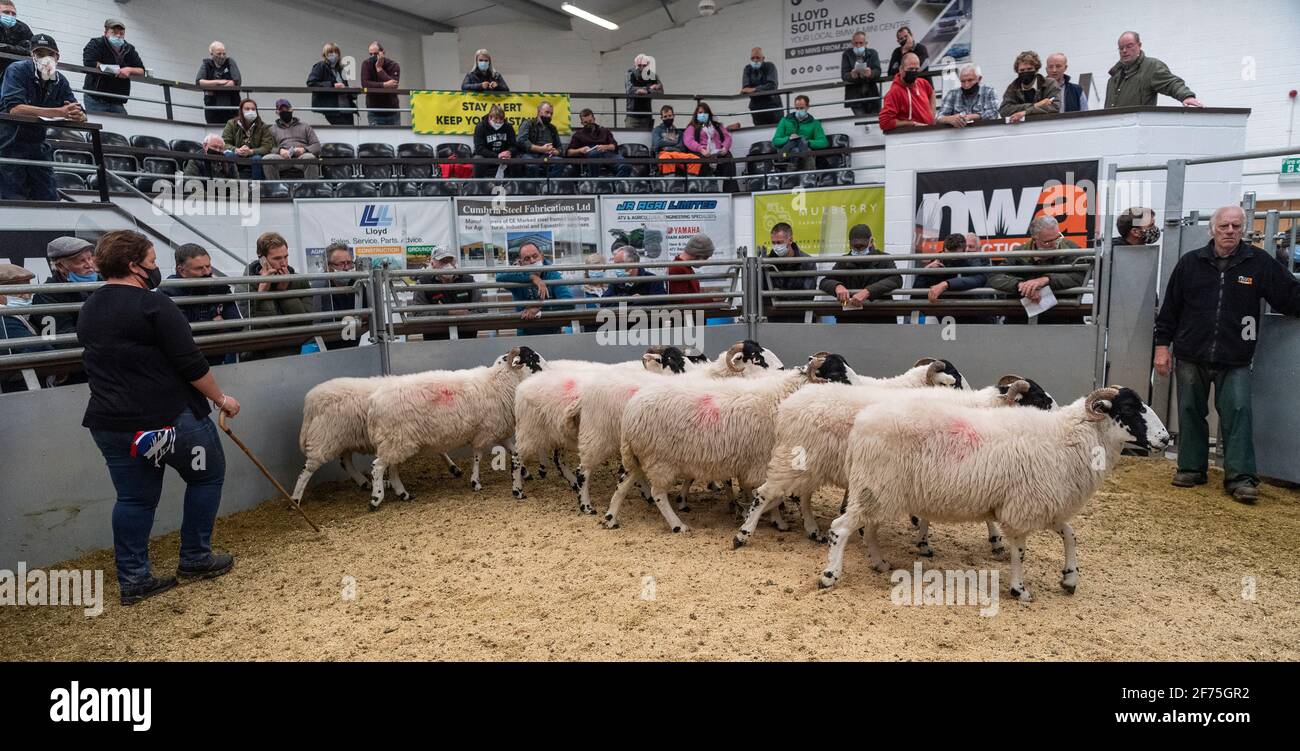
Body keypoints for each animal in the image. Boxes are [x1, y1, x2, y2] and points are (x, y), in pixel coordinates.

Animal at [364, 345, 546, 509]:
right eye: (532, 359)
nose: (548, 370)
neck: (500, 382)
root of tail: (373, 403)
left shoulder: (498, 431)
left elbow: (513, 451)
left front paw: (524, 472)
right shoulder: (483, 432)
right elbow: (478, 456)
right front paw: (475, 482)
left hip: (397, 442)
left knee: (392, 467)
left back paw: (403, 493)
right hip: (396, 439)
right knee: (377, 467)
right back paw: (376, 499)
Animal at [605, 353, 852, 530]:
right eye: (836, 374)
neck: (780, 398)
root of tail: (631, 411)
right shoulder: (765, 461)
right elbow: (768, 495)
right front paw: (770, 518)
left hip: (639, 455)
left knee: (623, 483)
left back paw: (610, 518)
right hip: (659, 459)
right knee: (657, 494)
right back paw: (677, 525)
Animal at [733, 371, 1055, 545]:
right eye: (1038, 397)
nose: (1057, 409)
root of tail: (788, 405)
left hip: (809, 465)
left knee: (802, 495)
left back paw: (812, 530)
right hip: (796, 459)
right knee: (766, 493)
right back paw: (744, 534)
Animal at [821, 381, 1170, 600]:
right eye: (1130, 409)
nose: (1167, 439)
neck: (1069, 439)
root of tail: (861, 423)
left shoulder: (1046, 503)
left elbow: (1071, 535)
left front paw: (1070, 577)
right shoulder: (1022, 507)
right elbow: (1020, 551)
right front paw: (1019, 589)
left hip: (880, 492)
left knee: (868, 528)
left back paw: (879, 563)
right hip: (875, 488)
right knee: (841, 528)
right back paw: (829, 575)